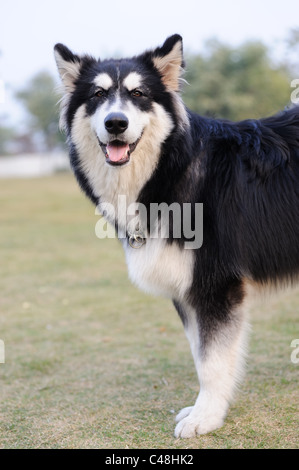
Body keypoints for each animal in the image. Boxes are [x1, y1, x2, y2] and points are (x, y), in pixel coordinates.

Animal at [54, 35, 299, 438]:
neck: (171, 170)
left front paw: (206, 417)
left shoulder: (214, 285)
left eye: (138, 94)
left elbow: (212, 361)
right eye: (97, 94)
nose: (116, 122)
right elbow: (202, 356)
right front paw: (205, 409)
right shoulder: (186, 292)